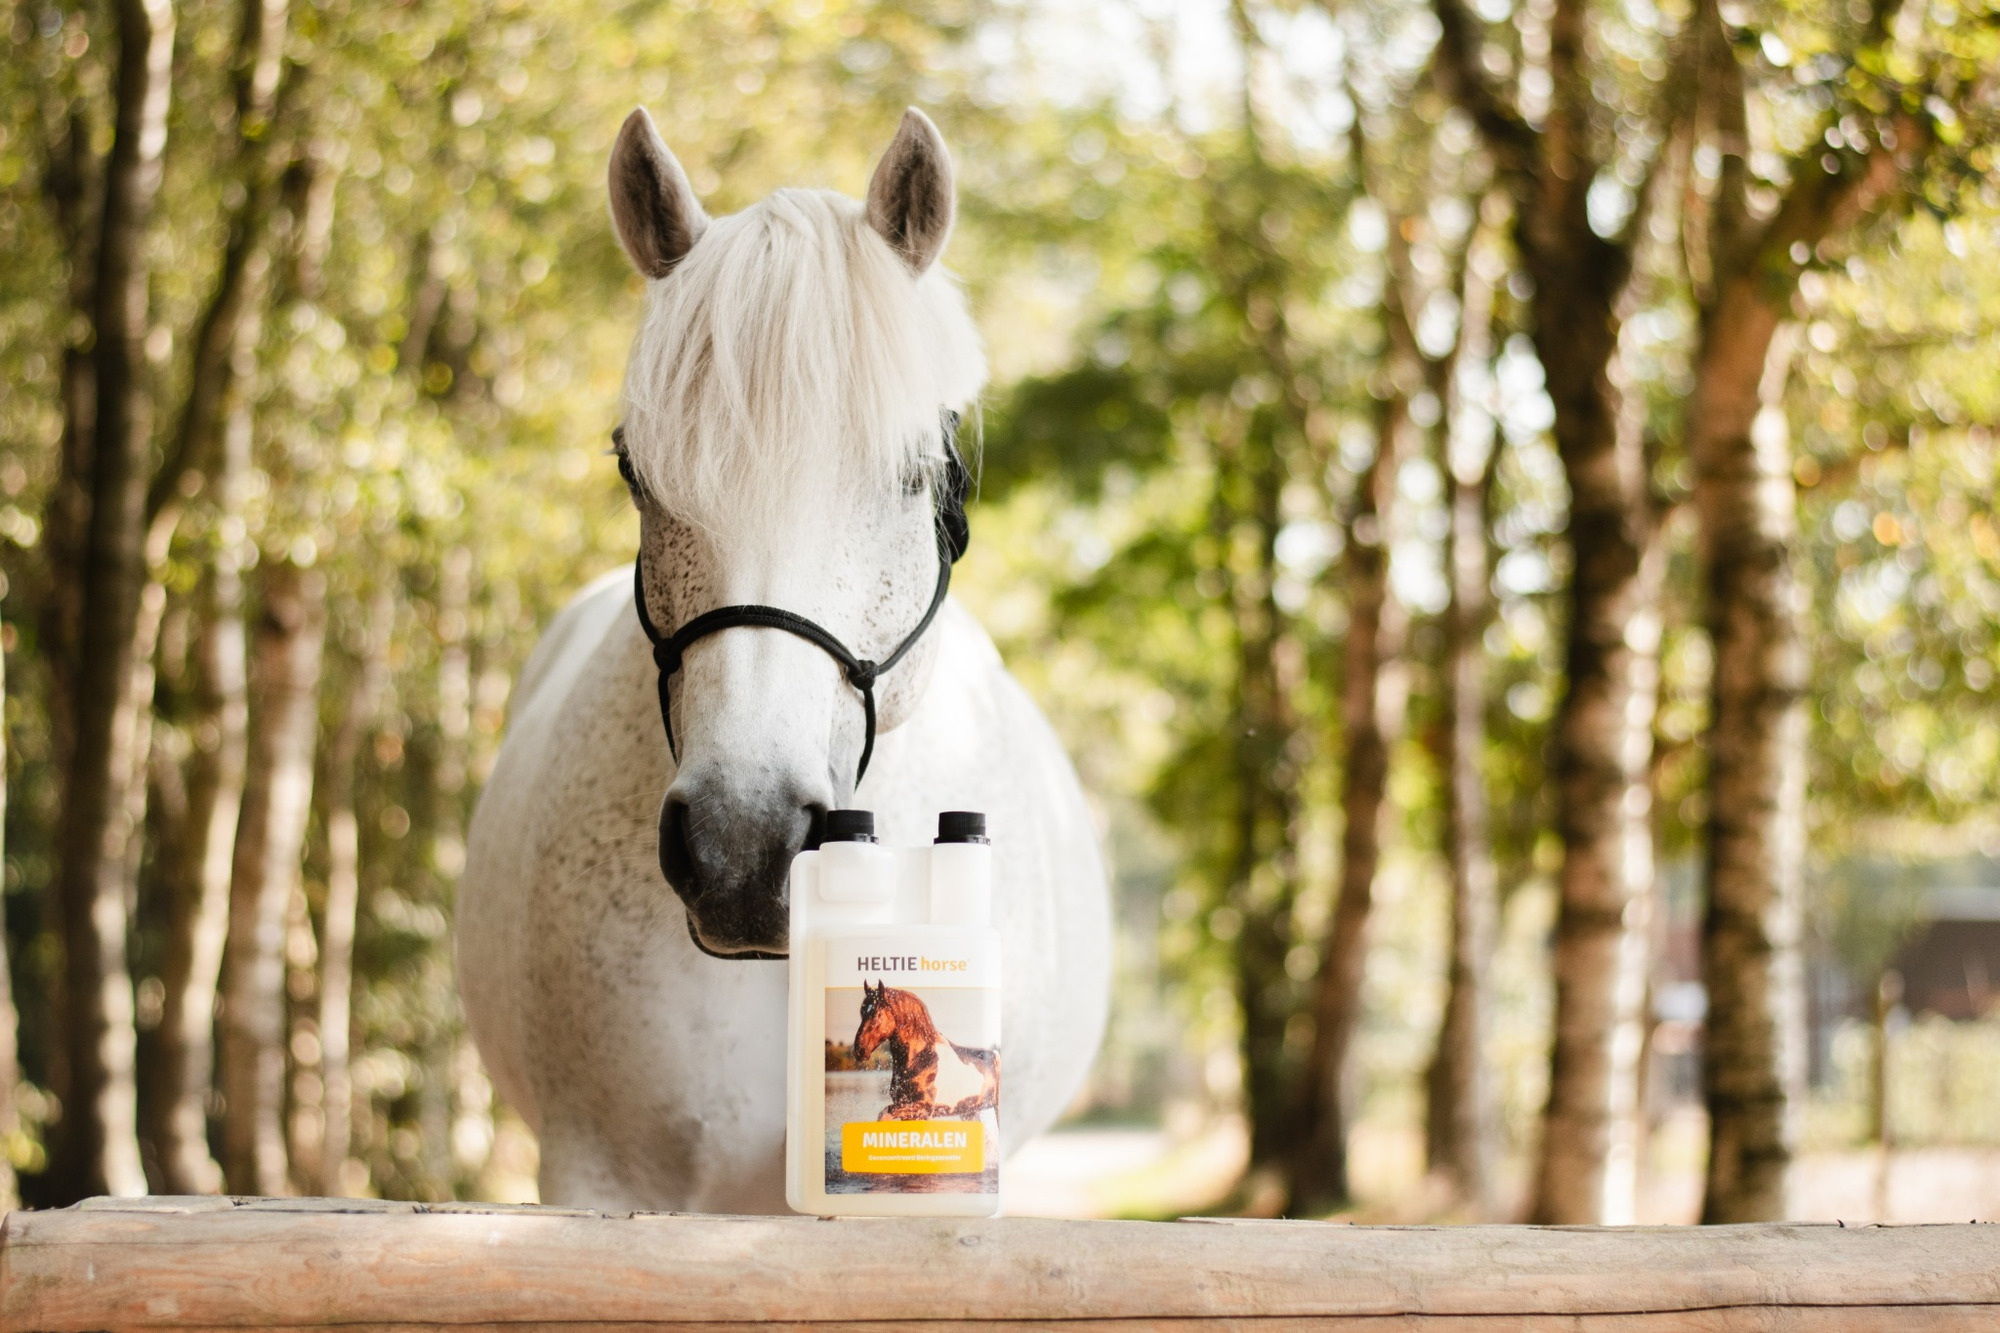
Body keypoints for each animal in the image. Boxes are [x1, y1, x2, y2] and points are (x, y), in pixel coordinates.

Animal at [852, 980, 1001, 1122]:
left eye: (877, 1014)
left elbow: (884, 1114)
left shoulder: (922, 1109)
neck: (920, 1059)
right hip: (969, 1113)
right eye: (862, 1012)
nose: (859, 1050)